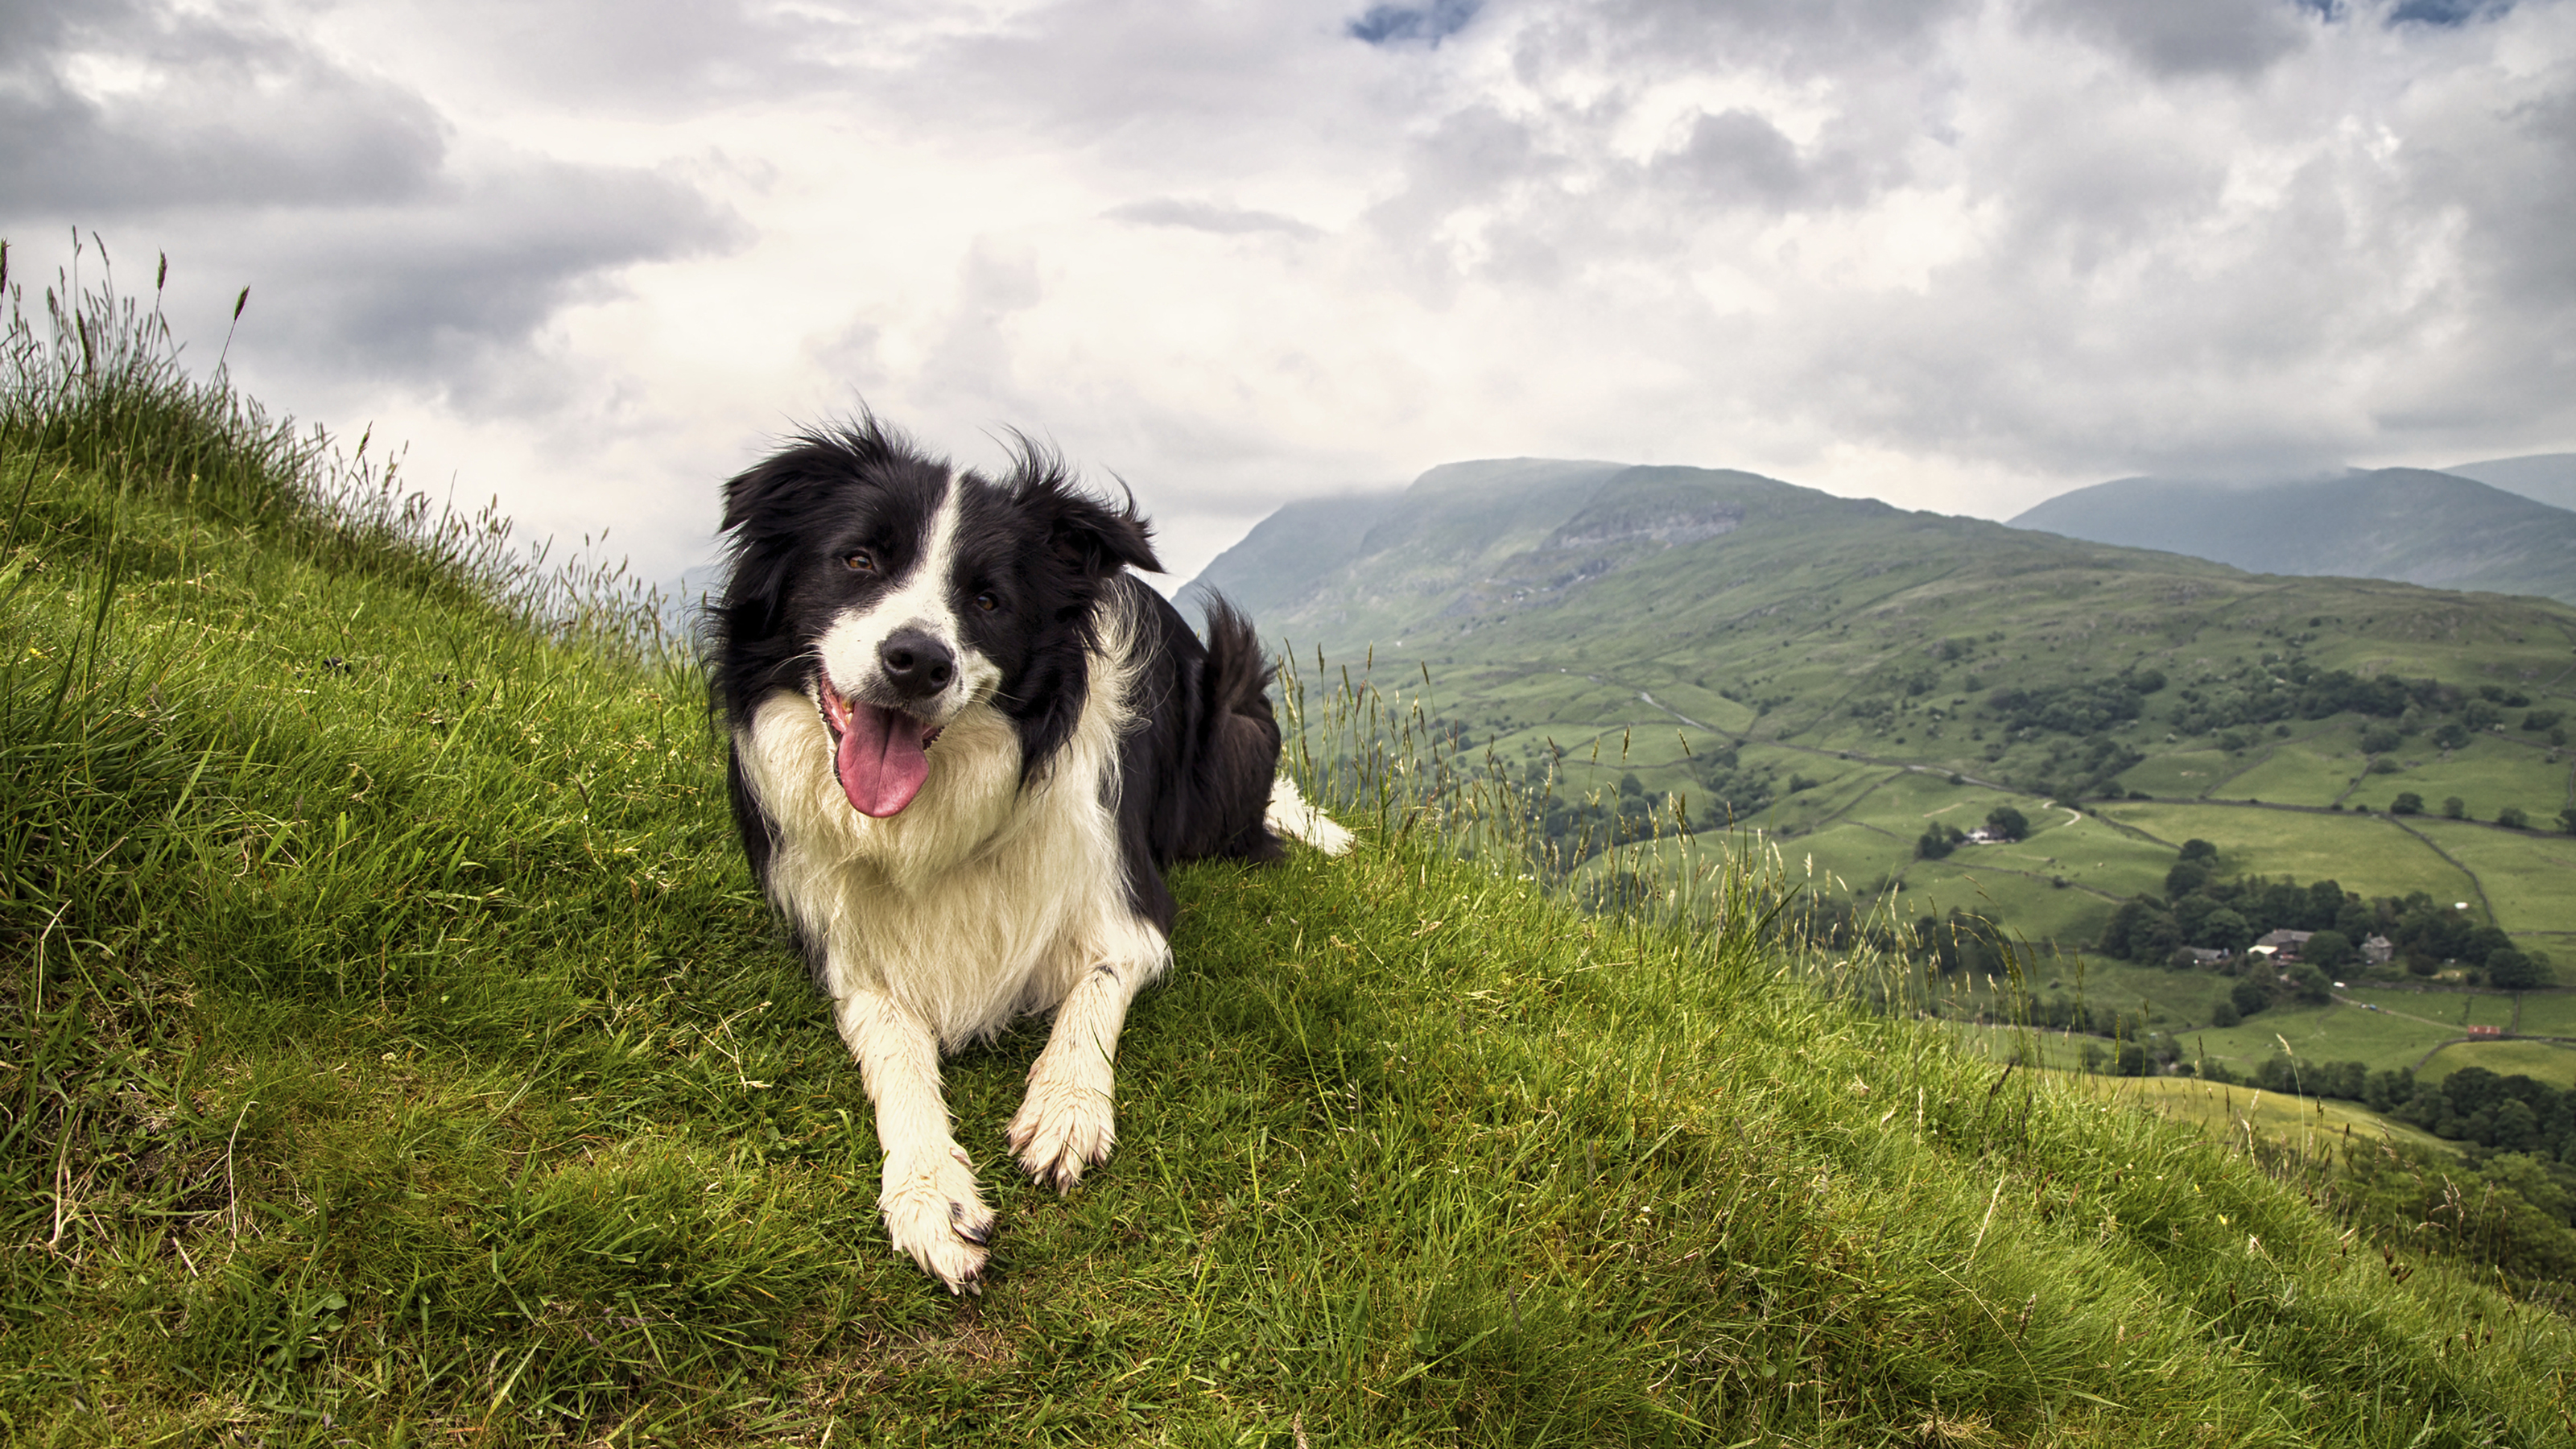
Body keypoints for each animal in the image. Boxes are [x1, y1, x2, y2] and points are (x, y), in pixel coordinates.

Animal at [705, 417, 1349, 1284]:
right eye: (858, 560)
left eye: (988, 600)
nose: (918, 661)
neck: (935, 817)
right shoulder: (843, 947)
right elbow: (892, 1046)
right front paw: (927, 1189)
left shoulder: (1128, 906)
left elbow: (1094, 992)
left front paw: (1066, 1109)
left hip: (1237, 713)